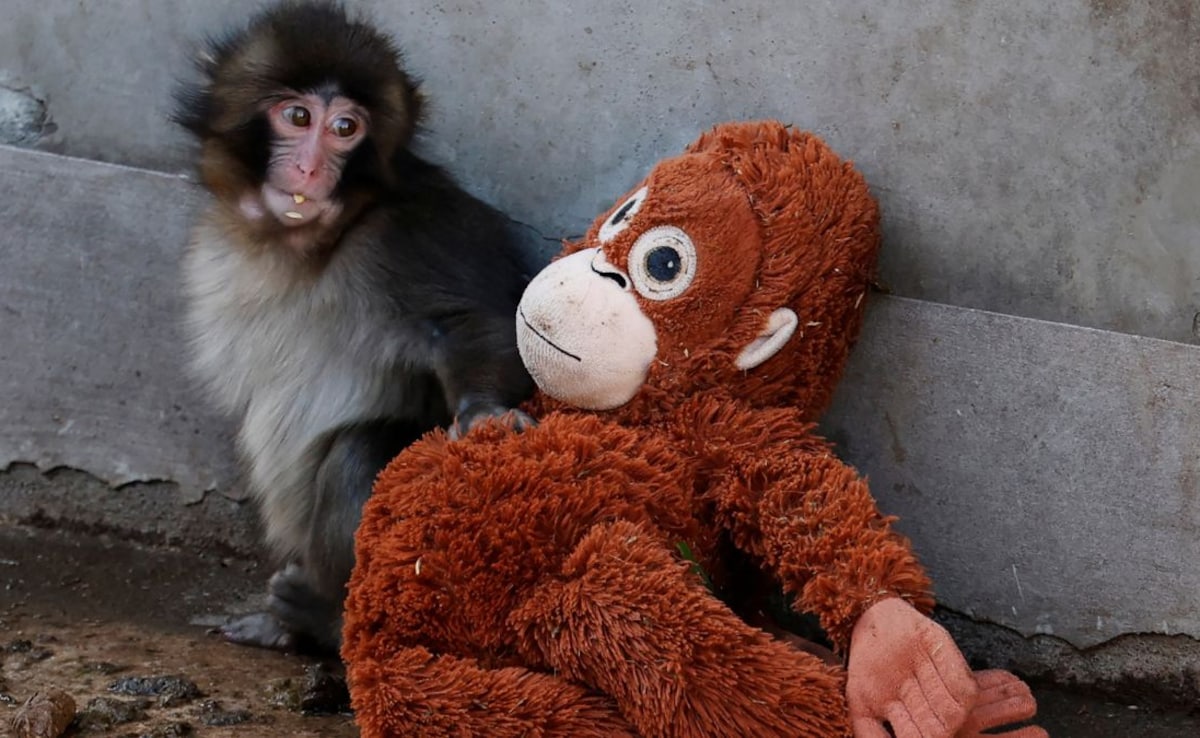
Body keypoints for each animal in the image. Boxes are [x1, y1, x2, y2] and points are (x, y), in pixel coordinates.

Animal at [173, 0, 536, 654]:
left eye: (346, 128)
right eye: (297, 116)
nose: (311, 167)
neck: (308, 244)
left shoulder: (413, 232)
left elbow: (474, 322)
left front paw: (485, 413)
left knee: (358, 454)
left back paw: (324, 619)